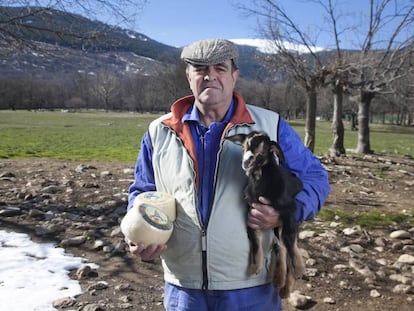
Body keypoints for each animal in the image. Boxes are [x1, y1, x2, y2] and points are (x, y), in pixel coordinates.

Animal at [226, 131, 304, 298]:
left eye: (262, 150)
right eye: (243, 147)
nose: (246, 162)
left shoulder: (289, 210)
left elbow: (290, 242)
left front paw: (299, 269)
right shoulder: (252, 213)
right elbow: (255, 241)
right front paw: (255, 267)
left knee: (288, 243)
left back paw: (286, 287)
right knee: (280, 246)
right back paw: (279, 280)